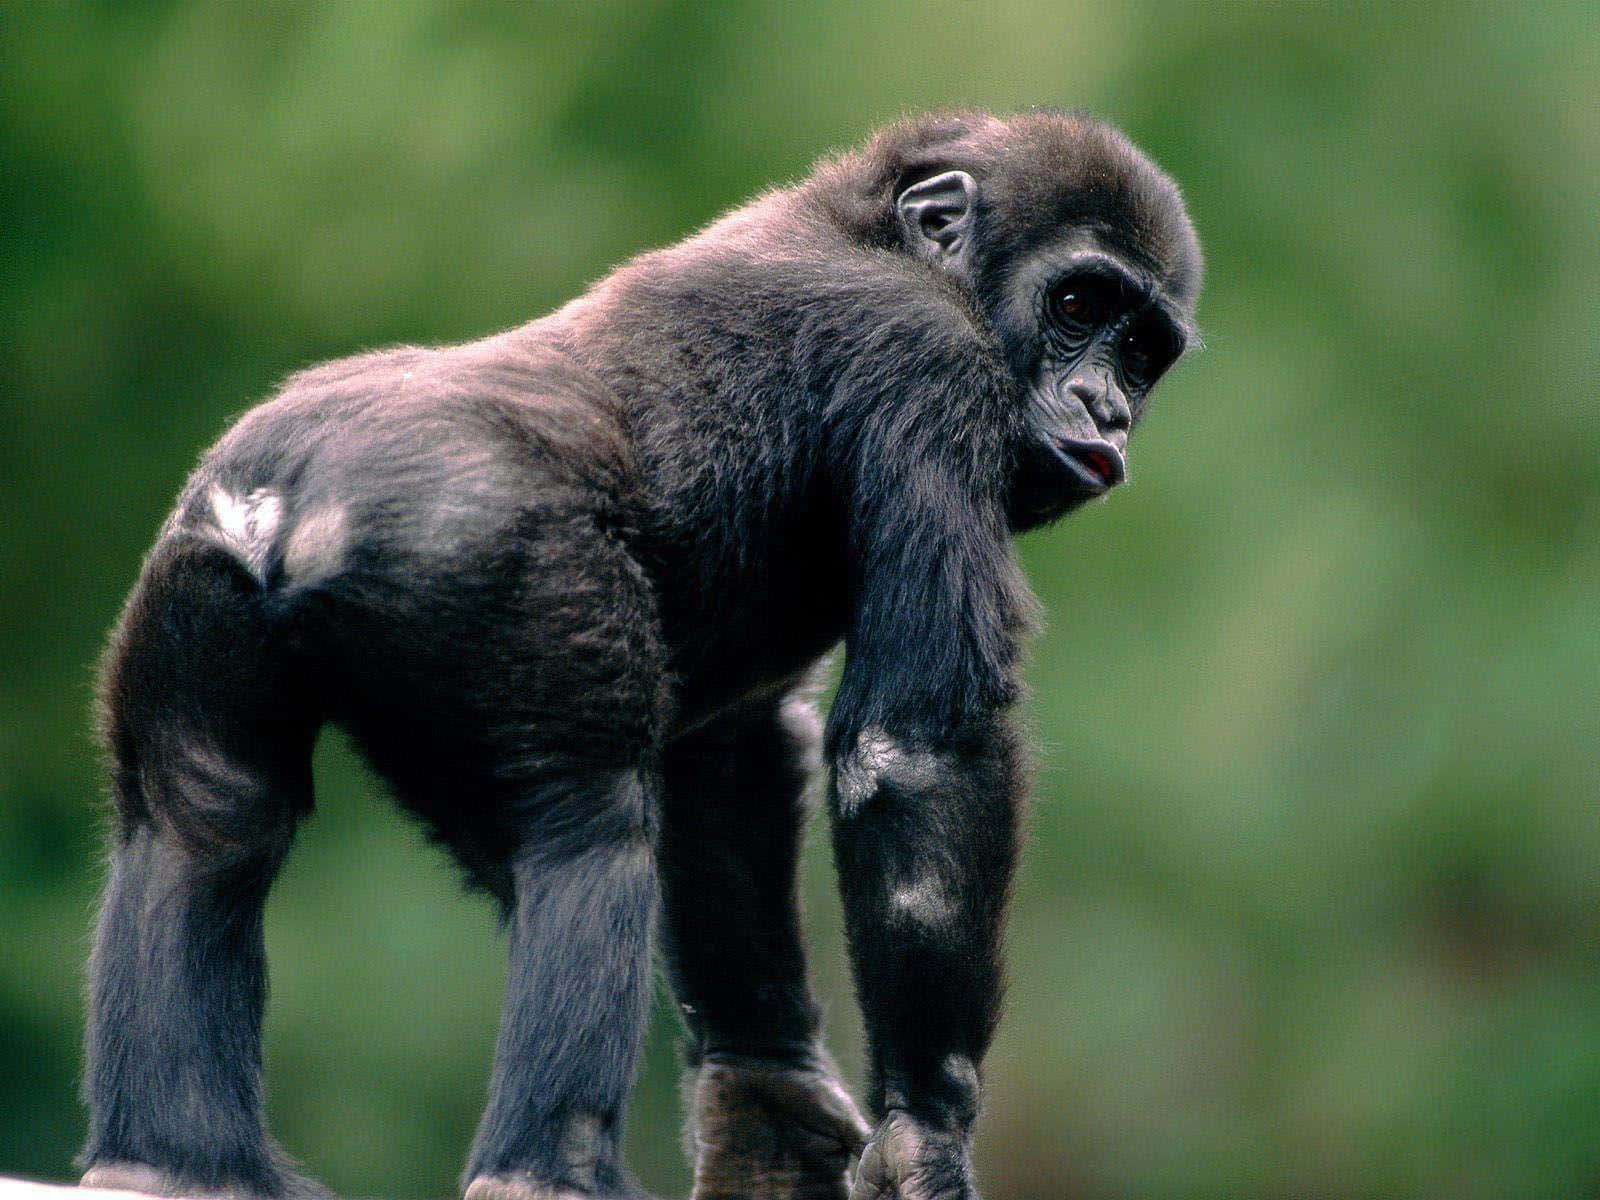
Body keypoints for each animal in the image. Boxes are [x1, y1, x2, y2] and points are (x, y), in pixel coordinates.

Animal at [79, 110, 1200, 1200]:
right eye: (1078, 304)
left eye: (1143, 351)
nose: (1107, 409)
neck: (878, 232)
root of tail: (286, 500)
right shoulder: (929, 361)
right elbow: (916, 750)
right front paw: (926, 1127)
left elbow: (724, 756)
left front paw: (766, 1095)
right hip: (492, 551)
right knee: (589, 828)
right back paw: (547, 1171)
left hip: (197, 574)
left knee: (205, 822)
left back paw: (174, 1162)